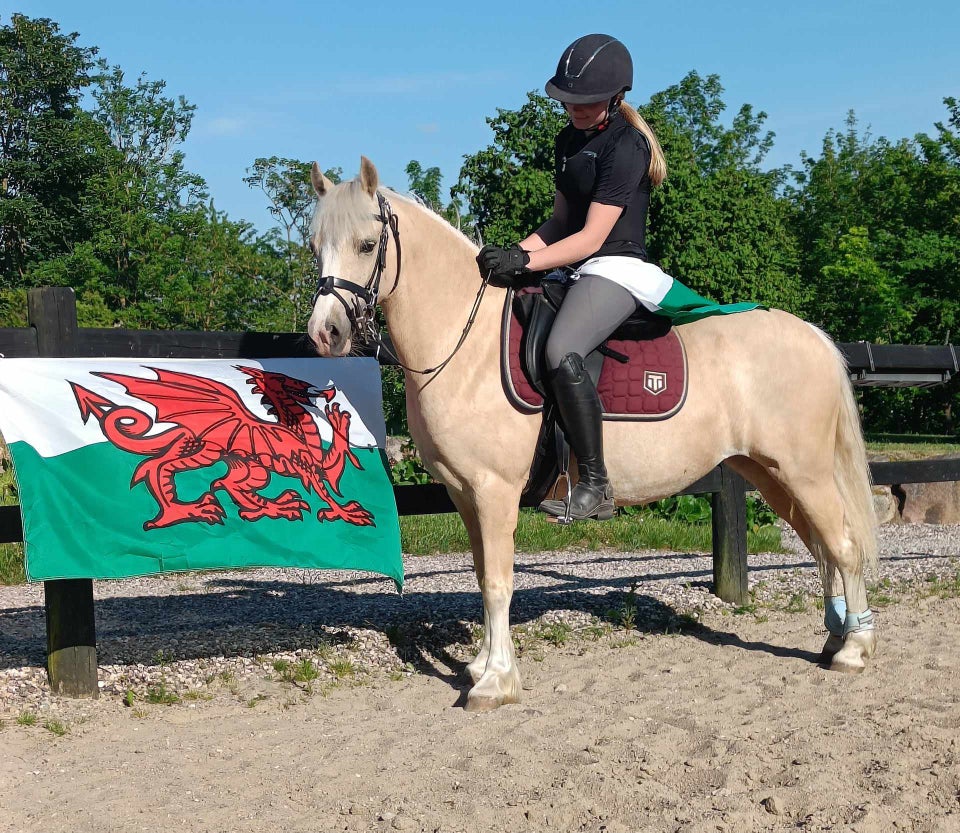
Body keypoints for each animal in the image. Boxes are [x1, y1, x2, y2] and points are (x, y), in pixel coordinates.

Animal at [308, 159, 876, 712]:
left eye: (367, 244)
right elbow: (481, 573)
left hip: (803, 472)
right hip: (770, 473)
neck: (467, 344)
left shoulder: (495, 491)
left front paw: (496, 682)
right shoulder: (464, 493)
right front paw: (481, 664)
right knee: (822, 546)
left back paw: (854, 648)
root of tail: (813, 335)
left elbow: (498, 582)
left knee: (843, 545)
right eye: (315, 247)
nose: (325, 333)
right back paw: (835, 637)